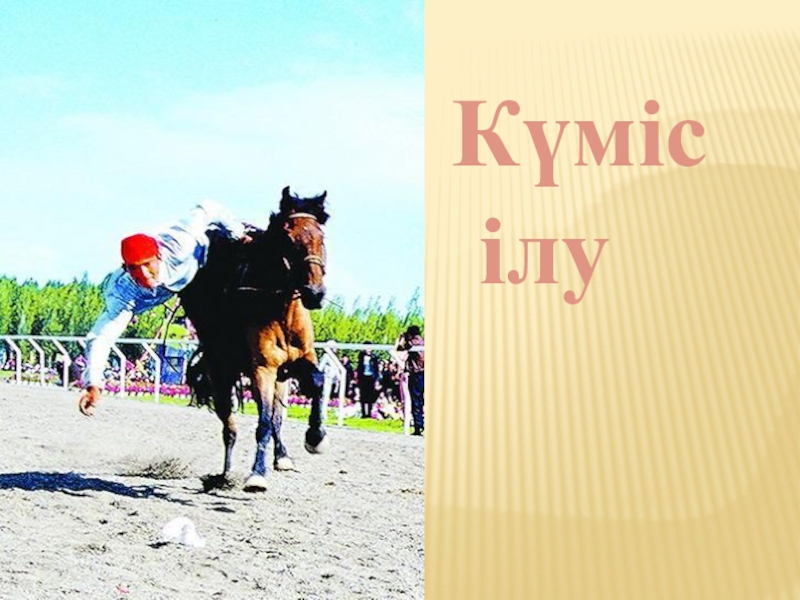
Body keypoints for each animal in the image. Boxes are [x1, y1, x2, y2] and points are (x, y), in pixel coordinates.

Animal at [179, 186, 330, 492]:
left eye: (321, 237)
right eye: (289, 239)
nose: (314, 293)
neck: (280, 308)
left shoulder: (301, 360)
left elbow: (317, 383)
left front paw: (316, 437)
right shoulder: (262, 368)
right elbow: (262, 423)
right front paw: (257, 475)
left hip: (280, 380)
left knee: (276, 418)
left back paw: (282, 456)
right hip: (222, 373)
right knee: (230, 427)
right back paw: (224, 475)